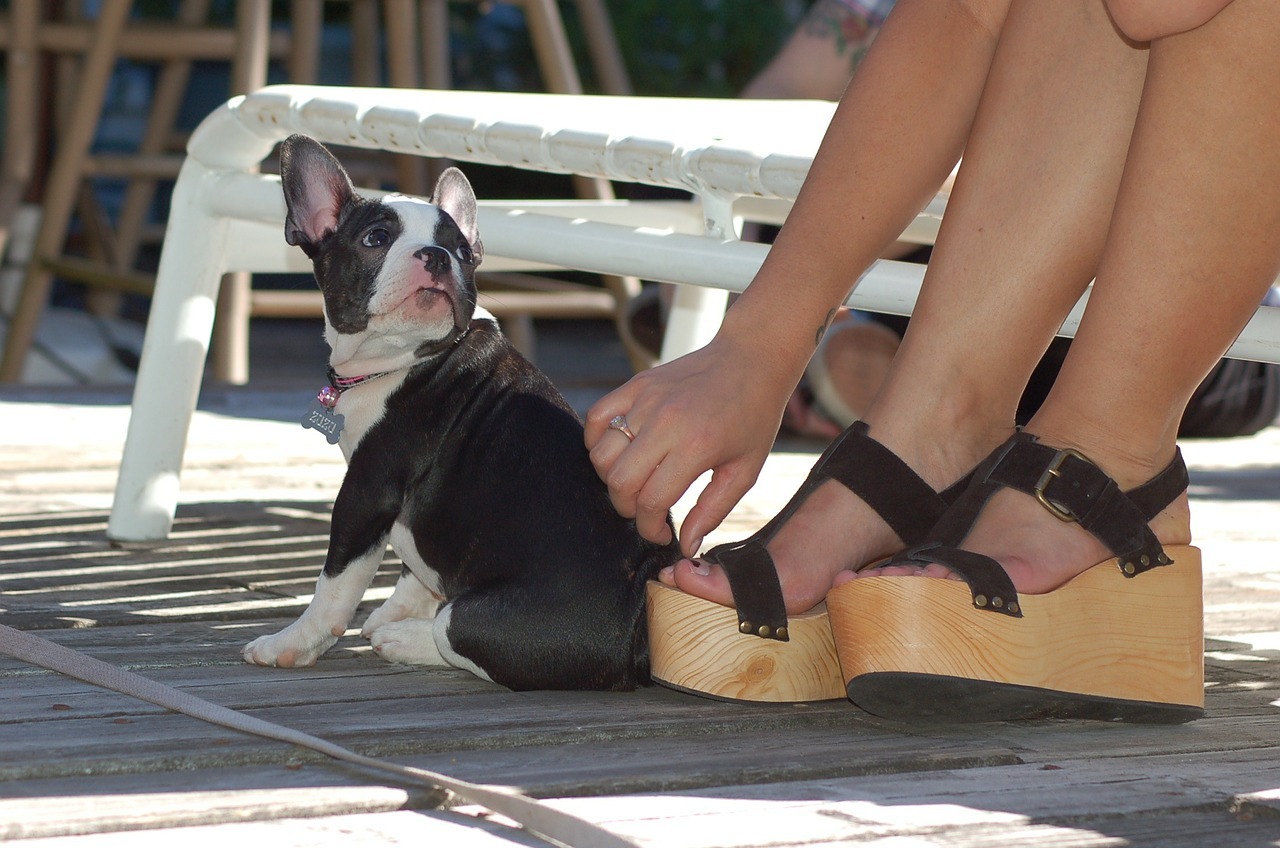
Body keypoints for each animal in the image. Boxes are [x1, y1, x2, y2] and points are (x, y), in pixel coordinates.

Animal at [241, 134, 680, 691]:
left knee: (456, 633)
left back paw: (403, 640)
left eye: (463, 252)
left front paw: (291, 645)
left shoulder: (366, 492)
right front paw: (395, 610)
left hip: (488, 619)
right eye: (376, 239)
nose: (436, 255)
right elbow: (415, 568)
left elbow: (334, 586)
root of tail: (644, 630)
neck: (411, 357)